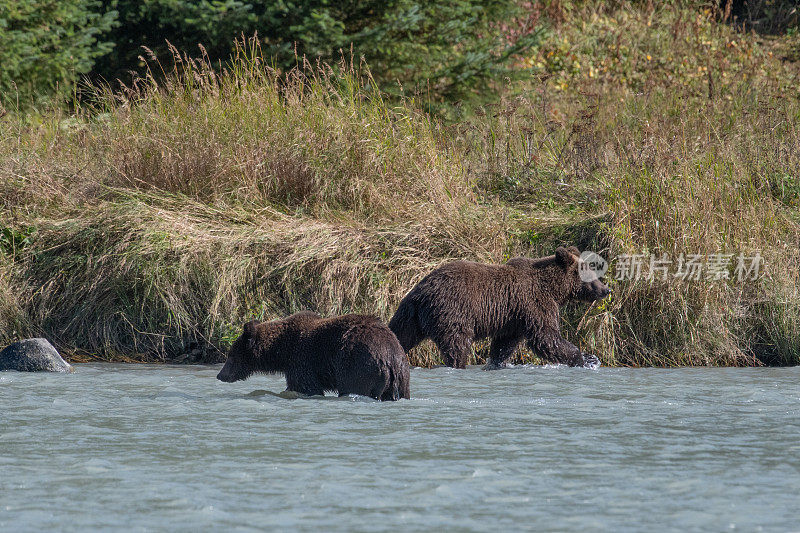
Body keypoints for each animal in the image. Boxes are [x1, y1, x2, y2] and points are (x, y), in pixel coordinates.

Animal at [216, 312, 410, 400]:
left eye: (231, 355)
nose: (220, 375)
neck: (281, 350)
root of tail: (388, 359)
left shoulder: (303, 360)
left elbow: (306, 387)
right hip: (402, 375)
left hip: (359, 367)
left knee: (353, 387)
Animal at [390, 246, 608, 368]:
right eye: (590, 273)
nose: (606, 289)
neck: (553, 288)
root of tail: (421, 291)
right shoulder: (535, 303)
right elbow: (546, 337)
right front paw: (586, 358)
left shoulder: (514, 317)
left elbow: (504, 344)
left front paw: (496, 362)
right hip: (452, 311)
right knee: (457, 344)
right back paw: (458, 364)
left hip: (410, 315)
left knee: (400, 334)